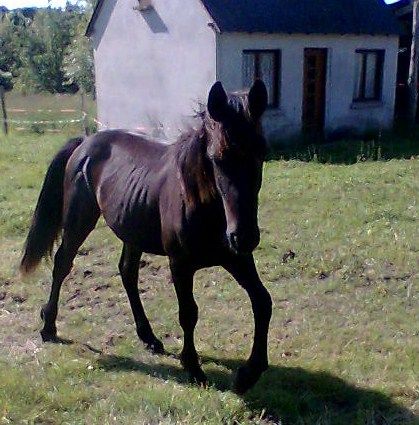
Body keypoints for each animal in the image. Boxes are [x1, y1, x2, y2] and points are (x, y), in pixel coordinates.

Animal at [20, 80, 272, 394]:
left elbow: (262, 302)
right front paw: (193, 368)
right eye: (217, 159)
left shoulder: (237, 259)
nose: (244, 236)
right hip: (80, 221)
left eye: (261, 153)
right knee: (62, 264)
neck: (202, 204)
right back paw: (48, 326)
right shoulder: (180, 264)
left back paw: (148, 337)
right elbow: (188, 313)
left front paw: (249, 373)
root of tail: (84, 143)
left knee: (127, 272)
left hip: (132, 229)